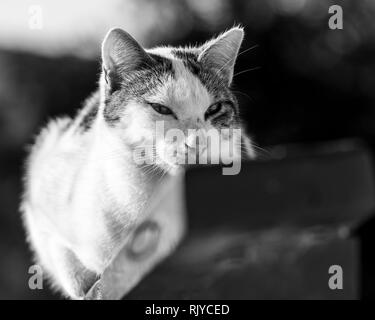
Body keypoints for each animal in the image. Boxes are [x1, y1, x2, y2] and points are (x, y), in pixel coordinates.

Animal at [20, 26, 256, 298]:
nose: (198, 142)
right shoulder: (42, 191)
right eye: (161, 109)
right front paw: (85, 283)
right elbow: (69, 266)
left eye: (215, 108)